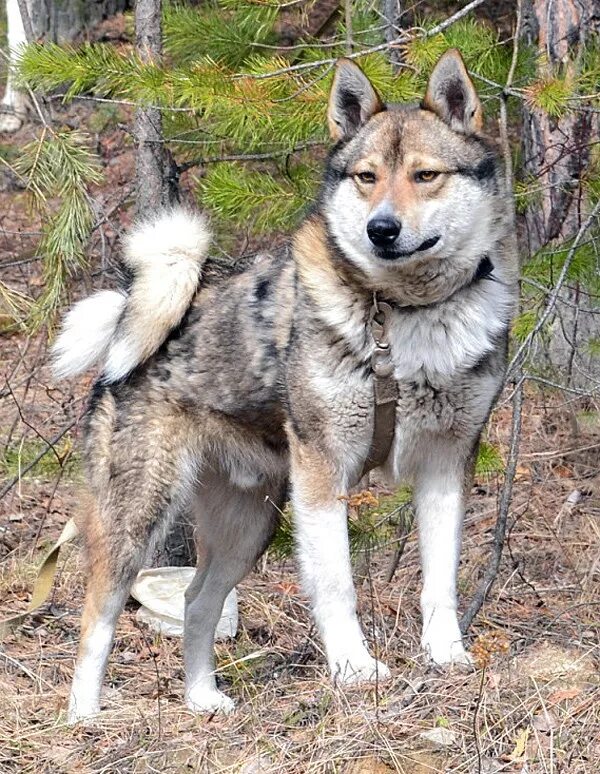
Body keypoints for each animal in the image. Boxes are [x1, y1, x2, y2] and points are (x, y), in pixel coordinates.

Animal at [54, 48, 516, 724]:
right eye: (366, 177)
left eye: (426, 175)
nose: (381, 229)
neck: (403, 315)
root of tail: (131, 324)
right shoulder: (322, 473)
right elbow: (338, 584)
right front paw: (354, 671)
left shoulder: (447, 464)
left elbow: (441, 582)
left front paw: (447, 656)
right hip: (139, 516)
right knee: (97, 617)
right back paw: (84, 715)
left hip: (248, 525)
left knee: (197, 600)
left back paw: (203, 698)